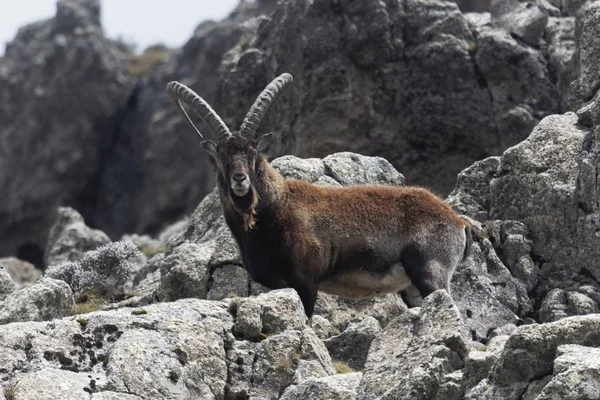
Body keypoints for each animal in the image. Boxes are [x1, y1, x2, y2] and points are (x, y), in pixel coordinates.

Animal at [166, 73, 472, 318]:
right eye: (221, 155)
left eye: (253, 151)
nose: (239, 180)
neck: (276, 208)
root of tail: (457, 220)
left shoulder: (305, 282)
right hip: (412, 288)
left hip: (431, 272)